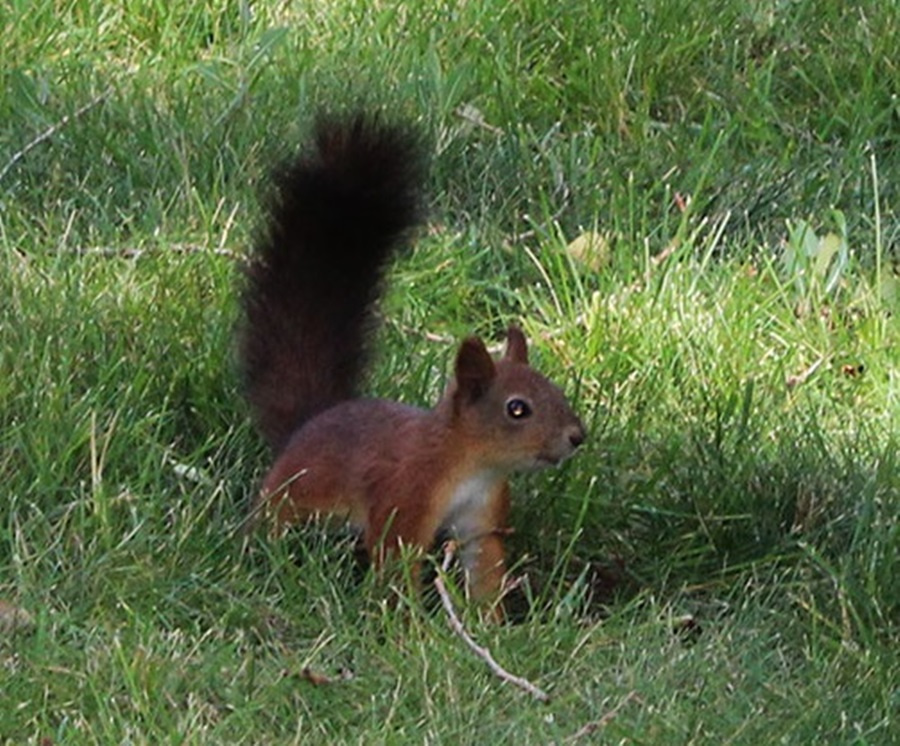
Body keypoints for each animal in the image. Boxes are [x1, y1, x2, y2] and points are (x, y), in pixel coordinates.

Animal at [240, 113, 585, 612]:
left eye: (556, 388)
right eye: (517, 408)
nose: (577, 436)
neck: (468, 461)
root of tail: (308, 423)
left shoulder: (482, 514)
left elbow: (484, 564)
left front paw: (489, 622)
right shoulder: (406, 495)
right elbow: (396, 563)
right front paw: (407, 623)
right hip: (290, 494)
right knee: (271, 523)